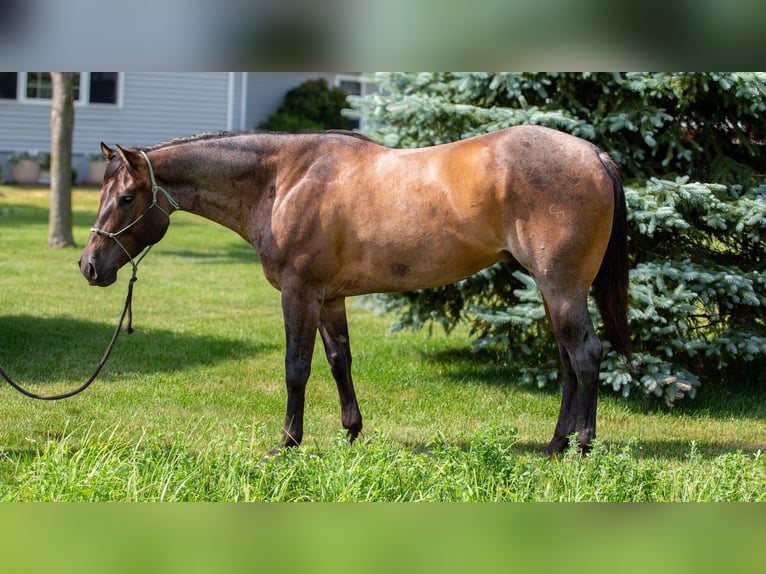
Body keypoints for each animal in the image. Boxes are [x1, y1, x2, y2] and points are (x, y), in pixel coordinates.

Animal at [78, 125, 631, 455]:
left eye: (126, 198)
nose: (89, 266)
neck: (283, 180)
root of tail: (595, 153)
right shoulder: (329, 298)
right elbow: (338, 361)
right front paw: (351, 431)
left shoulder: (299, 293)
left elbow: (296, 368)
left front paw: (288, 442)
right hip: (550, 290)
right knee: (567, 362)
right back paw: (556, 444)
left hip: (561, 288)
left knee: (586, 355)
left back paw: (583, 447)